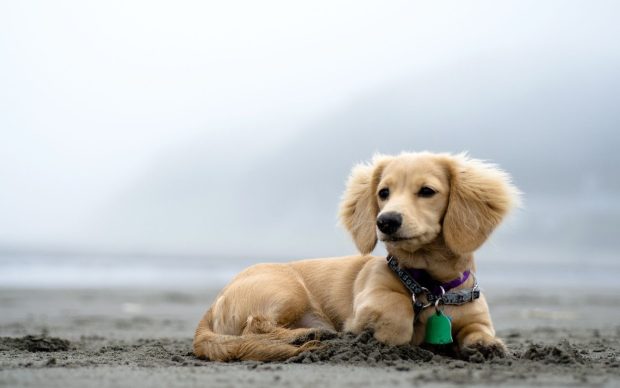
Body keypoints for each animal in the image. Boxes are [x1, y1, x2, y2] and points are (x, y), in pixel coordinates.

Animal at [193, 151, 520, 360]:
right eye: (383, 192)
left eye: (427, 191)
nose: (386, 221)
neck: (431, 285)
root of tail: (213, 304)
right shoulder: (369, 300)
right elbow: (397, 306)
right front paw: (392, 334)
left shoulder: (476, 317)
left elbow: (479, 330)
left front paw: (487, 345)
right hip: (286, 290)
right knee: (255, 327)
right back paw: (306, 336)